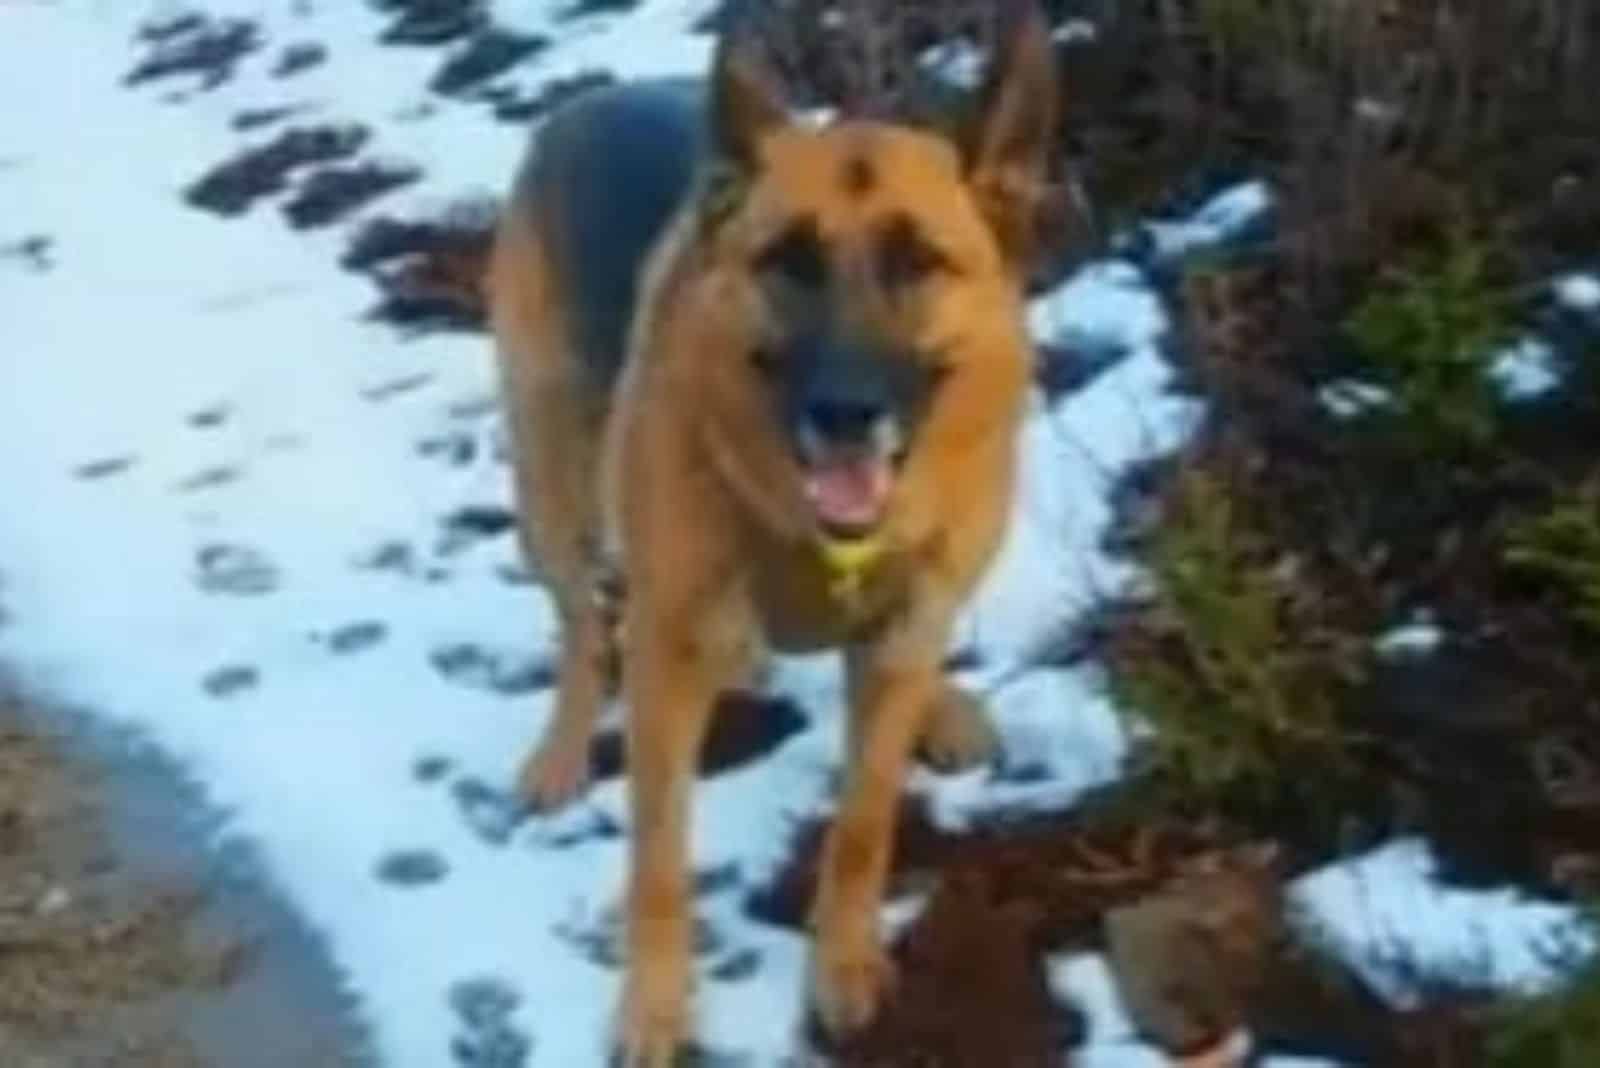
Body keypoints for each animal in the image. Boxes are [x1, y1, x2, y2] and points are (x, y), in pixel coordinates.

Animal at [492, 4, 1056, 1061]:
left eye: (920, 263)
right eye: (788, 261)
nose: (845, 414)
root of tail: (586, 105)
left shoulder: (900, 635)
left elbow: (865, 824)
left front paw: (843, 964)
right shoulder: (667, 665)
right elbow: (659, 860)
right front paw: (655, 1007)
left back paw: (943, 706)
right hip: (551, 491)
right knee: (582, 626)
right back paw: (560, 748)